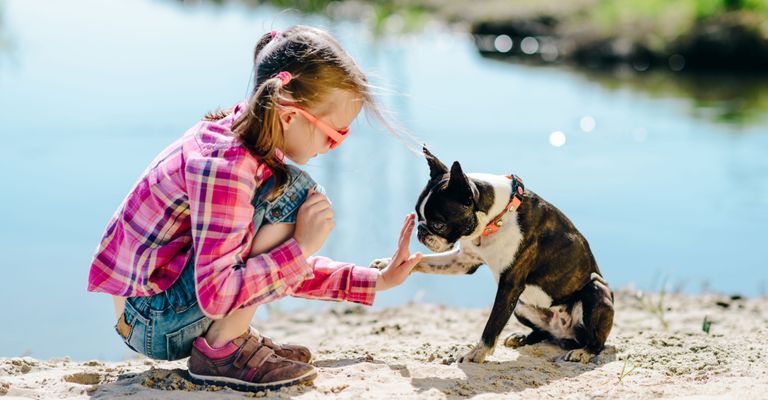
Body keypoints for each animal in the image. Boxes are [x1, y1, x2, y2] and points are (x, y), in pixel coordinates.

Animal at [370, 148, 612, 364]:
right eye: (418, 214)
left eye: (438, 224)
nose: (421, 231)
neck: (497, 218)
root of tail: (565, 334)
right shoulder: (463, 261)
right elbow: (424, 261)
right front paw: (389, 264)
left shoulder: (510, 285)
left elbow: (492, 324)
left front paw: (477, 354)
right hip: (521, 306)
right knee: (545, 334)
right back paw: (523, 338)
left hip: (595, 291)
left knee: (597, 341)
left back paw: (583, 352)